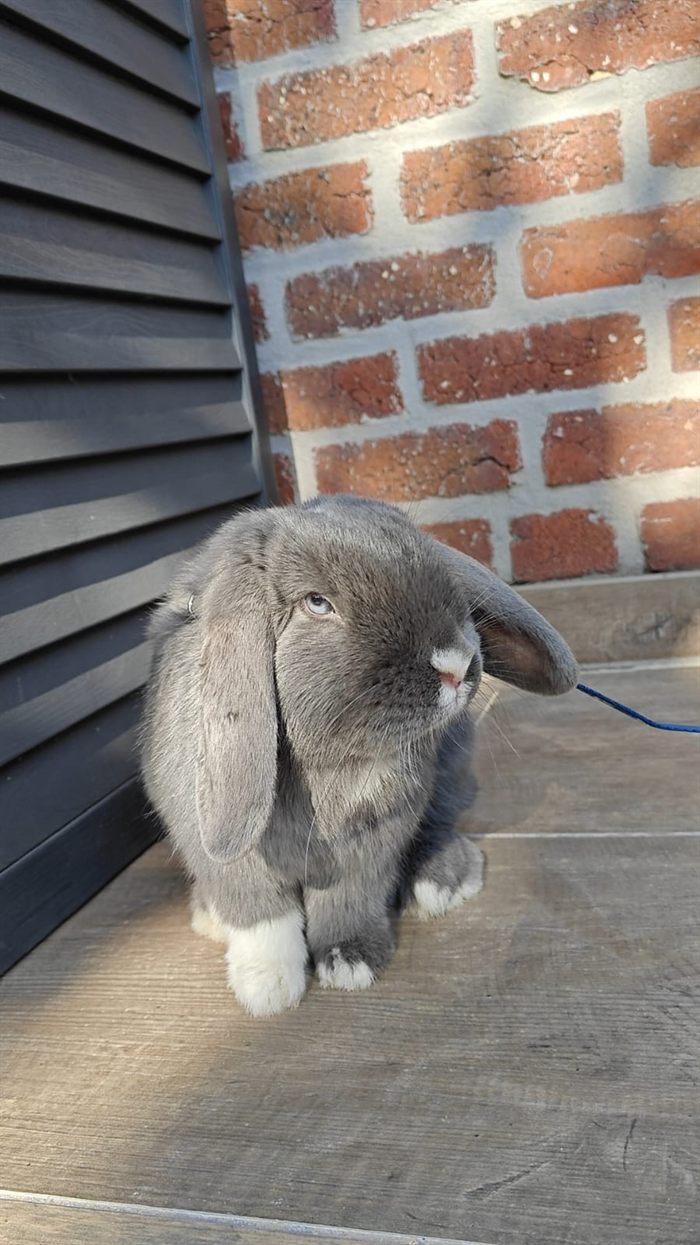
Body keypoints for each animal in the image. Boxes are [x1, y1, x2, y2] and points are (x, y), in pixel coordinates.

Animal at [141, 495, 577, 1016]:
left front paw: (351, 964)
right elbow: (261, 916)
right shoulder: (231, 859)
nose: (456, 664)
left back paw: (442, 885)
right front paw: (268, 990)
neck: (334, 766)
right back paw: (209, 917)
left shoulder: (372, 838)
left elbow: (349, 900)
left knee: (439, 829)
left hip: (449, 779)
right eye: (317, 603)